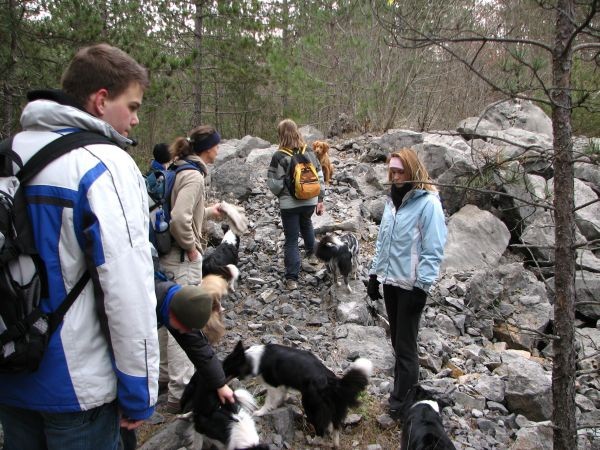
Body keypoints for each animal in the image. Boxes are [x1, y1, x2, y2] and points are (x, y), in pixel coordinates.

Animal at [221, 342, 370, 446]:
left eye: (226, 368)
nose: (219, 383)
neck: (252, 359)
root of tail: (331, 381)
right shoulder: (282, 385)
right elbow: (281, 396)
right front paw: (283, 401)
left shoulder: (274, 385)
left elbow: (269, 401)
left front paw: (260, 412)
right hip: (334, 407)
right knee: (335, 426)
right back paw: (335, 443)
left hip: (310, 404)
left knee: (320, 427)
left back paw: (314, 440)